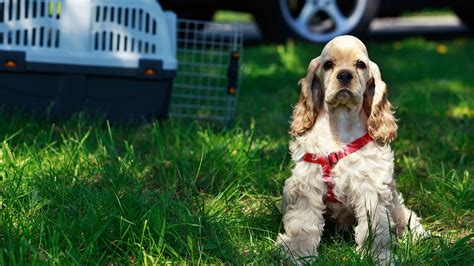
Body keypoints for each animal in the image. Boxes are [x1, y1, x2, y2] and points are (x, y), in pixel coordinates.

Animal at [278, 34, 426, 262]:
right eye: (328, 65)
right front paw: (297, 252)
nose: (345, 75)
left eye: (360, 65)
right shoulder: (308, 183)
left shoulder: (371, 185)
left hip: (395, 202)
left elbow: (376, 227)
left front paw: (378, 256)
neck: (340, 122)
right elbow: (304, 222)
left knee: (405, 217)